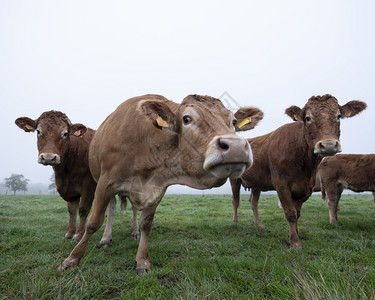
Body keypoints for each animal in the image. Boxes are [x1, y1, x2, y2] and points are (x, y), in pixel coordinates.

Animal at [58, 94, 264, 274]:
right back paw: (105, 239)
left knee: (134, 210)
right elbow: (94, 222)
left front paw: (142, 260)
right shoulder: (105, 183)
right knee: (112, 208)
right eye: (187, 119)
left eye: (234, 122)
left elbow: (146, 223)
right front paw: (72, 258)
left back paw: (133, 233)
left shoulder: (158, 187)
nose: (236, 147)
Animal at [229, 95, 368, 248]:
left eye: (338, 116)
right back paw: (235, 223)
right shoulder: (281, 185)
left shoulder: (305, 188)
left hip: (257, 182)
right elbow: (291, 213)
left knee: (253, 202)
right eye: (308, 118)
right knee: (235, 201)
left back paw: (260, 226)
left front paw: (294, 235)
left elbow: (298, 213)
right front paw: (295, 243)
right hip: (234, 179)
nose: (329, 145)